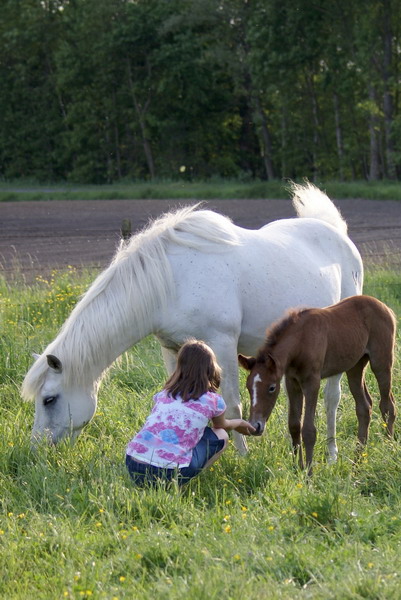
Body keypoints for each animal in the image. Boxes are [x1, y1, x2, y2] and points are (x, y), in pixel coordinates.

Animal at [21, 185, 362, 458]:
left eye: (49, 400)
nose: (36, 449)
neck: (171, 280)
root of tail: (335, 232)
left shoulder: (223, 344)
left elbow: (232, 404)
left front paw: (241, 456)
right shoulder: (172, 349)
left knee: (332, 397)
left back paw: (331, 454)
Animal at [238, 296, 394, 474]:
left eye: (271, 388)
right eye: (248, 387)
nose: (255, 426)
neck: (301, 341)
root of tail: (383, 306)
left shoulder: (312, 382)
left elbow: (308, 430)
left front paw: (309, 473)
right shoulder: (292, 382)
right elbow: (294, 425)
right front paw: (297, 468)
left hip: (381, 362)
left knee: (387, 405)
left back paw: (388, 447)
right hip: (355, 367)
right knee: (364, 407)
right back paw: (357, 462)